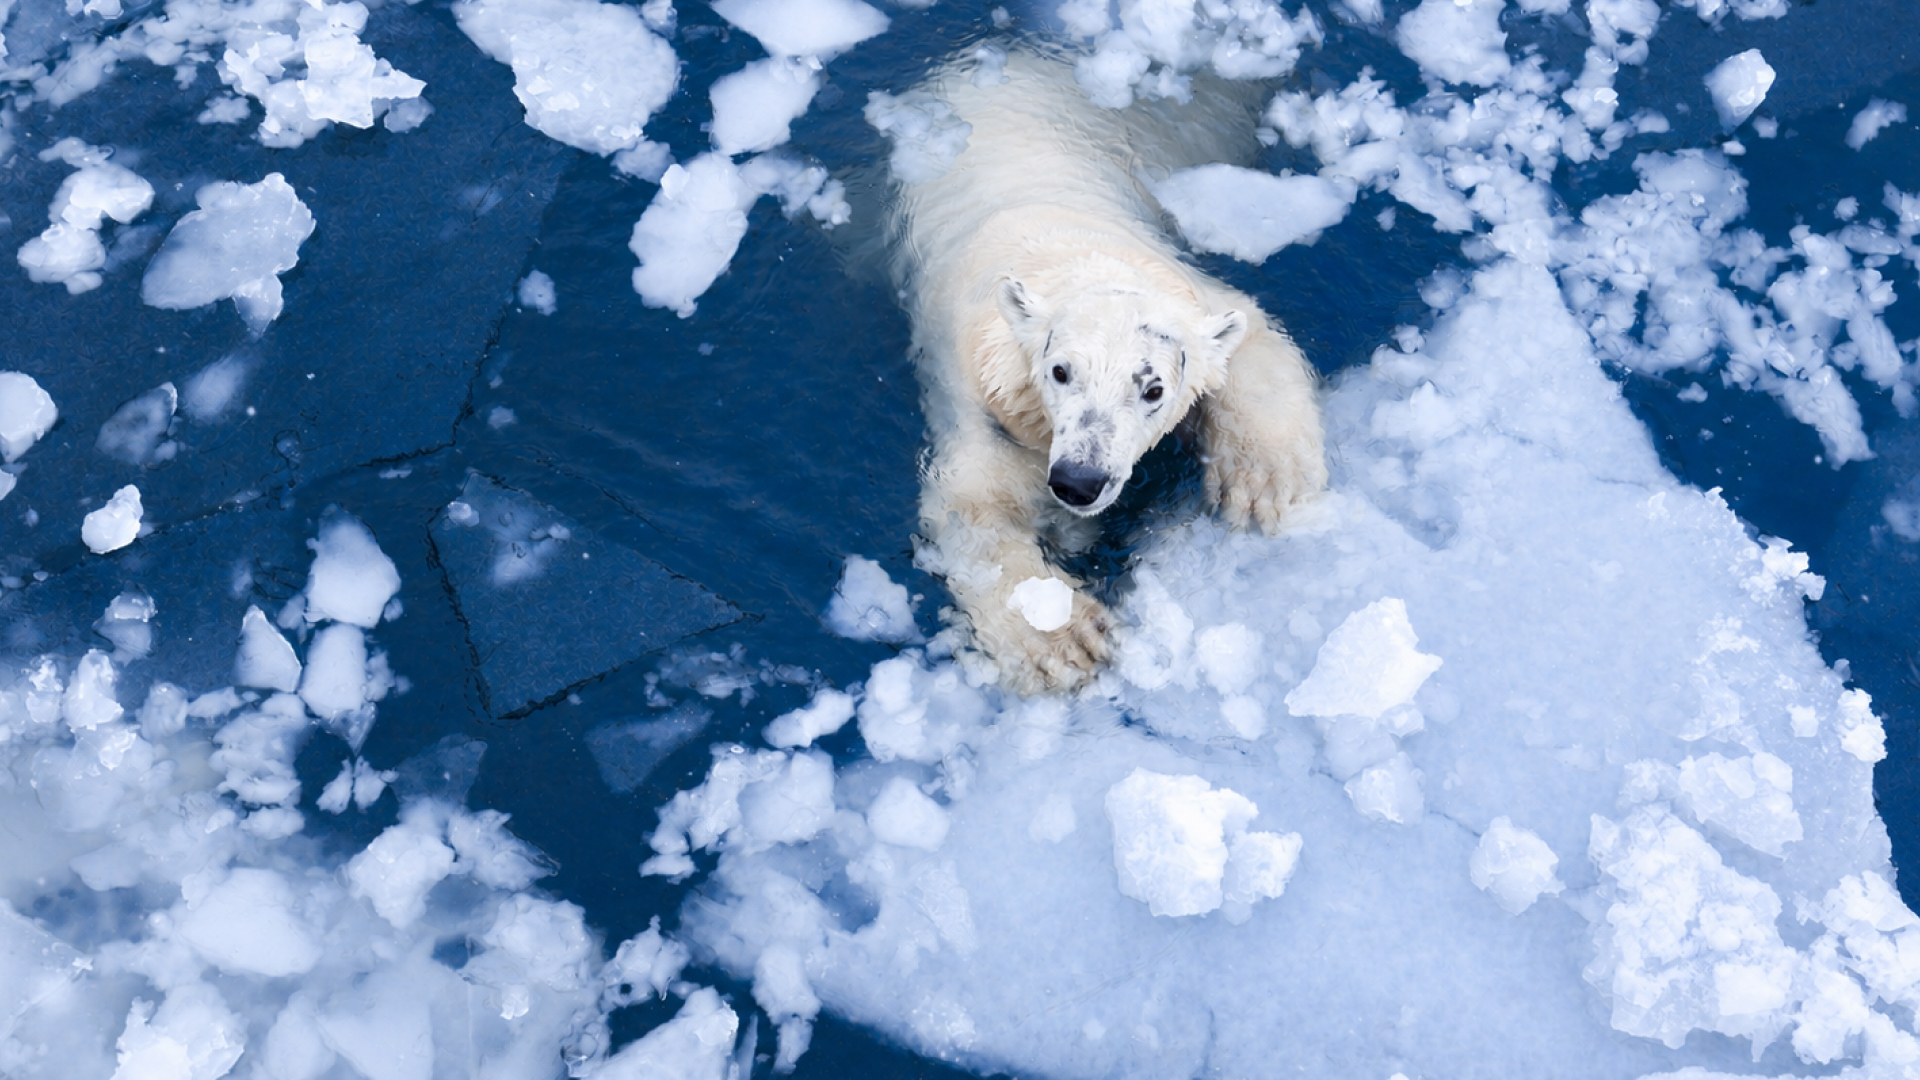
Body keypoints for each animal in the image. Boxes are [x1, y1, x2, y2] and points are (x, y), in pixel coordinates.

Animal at [888, 44, 1327, 694]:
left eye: (1153, 388)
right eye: (1059, 372)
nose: (1079, 480)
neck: (1068, 256)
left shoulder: (1188, 292)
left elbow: (1248, 341)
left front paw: (1265, 484)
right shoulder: (986, 399)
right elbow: (974, 509)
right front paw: (1067, 639)